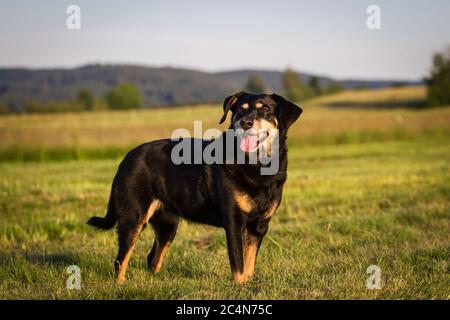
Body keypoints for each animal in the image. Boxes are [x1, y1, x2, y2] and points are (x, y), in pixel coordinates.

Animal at [87, 91, 302, 284]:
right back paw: (120, 285)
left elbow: (249, 264)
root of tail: (126, 158)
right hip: (133, 217)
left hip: (167, 225)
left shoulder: (259, 226)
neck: (257, 166)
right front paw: (240, 286)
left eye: (265, 110)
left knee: (153, 258)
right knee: (120, 260)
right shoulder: (233, 221)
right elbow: (239, 265)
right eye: (240, 110)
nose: (245, 123)